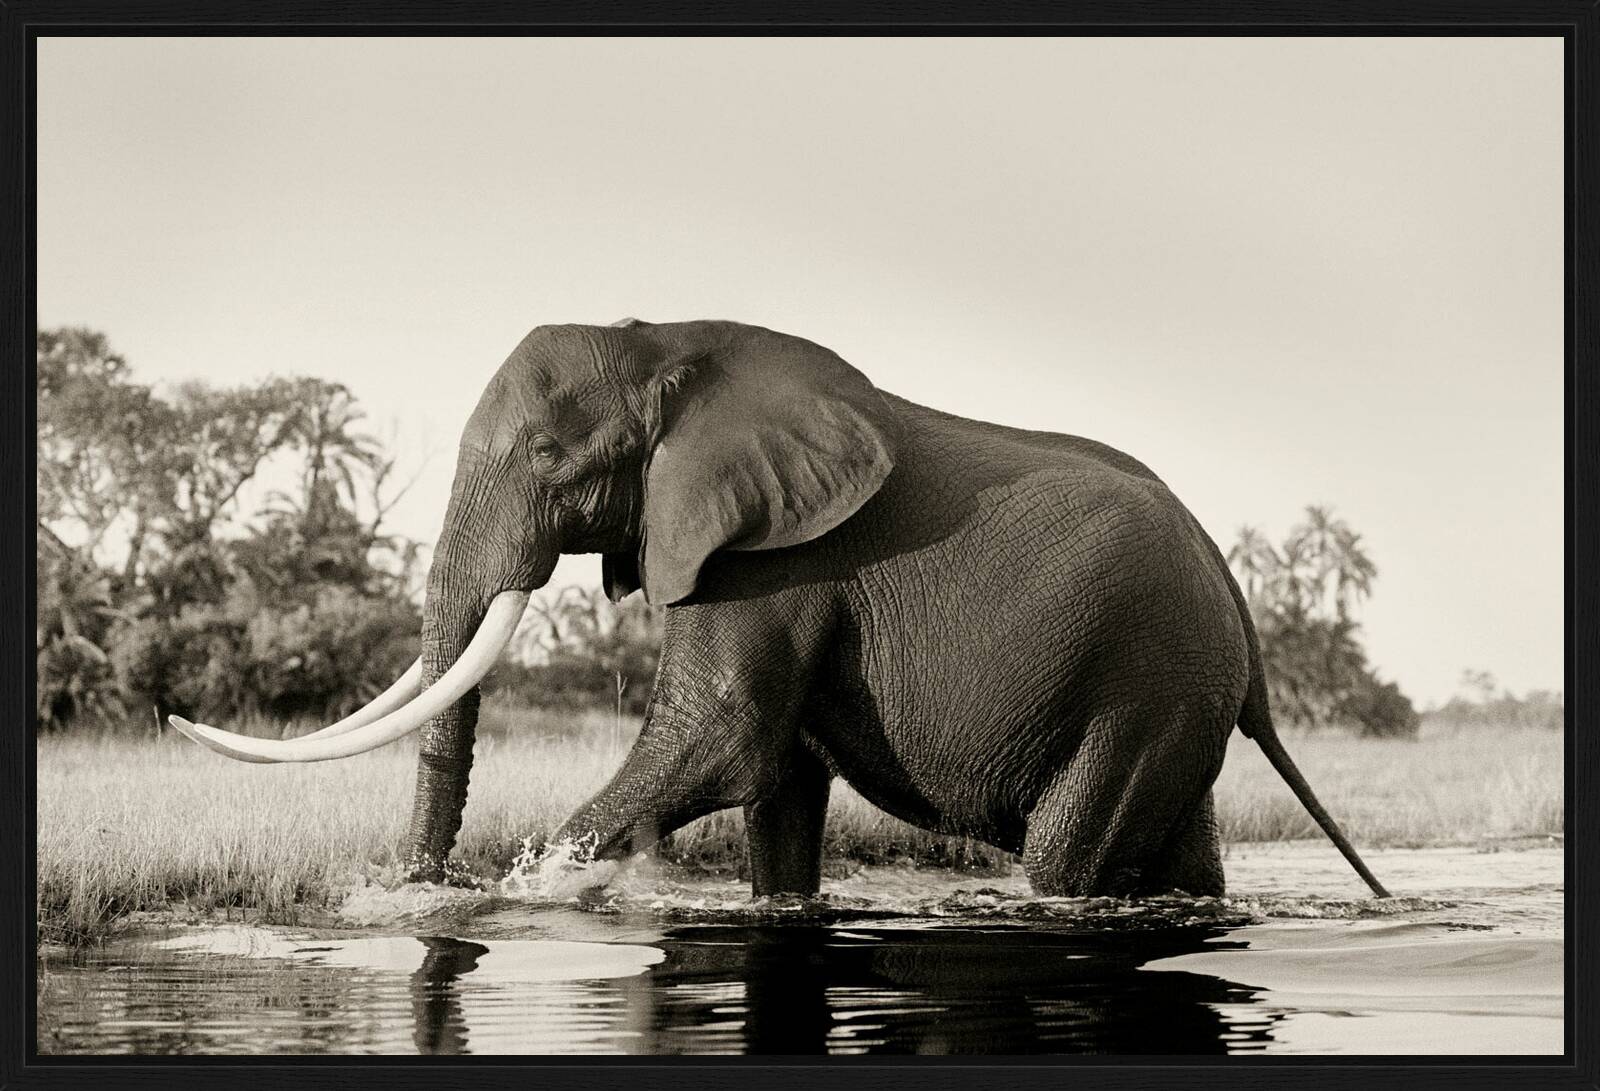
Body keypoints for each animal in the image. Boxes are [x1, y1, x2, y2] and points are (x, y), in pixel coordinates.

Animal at [171, 318, 1389, 900]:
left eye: (551, 457)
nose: (419, 890)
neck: (665, 342)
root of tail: (1244, 624)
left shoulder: (775, 559)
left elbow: (719, 736)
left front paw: (536, 889)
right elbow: (779, 785)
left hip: (1142, 682)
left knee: (1062, 856)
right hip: (1173, 695)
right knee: (1184, 860)